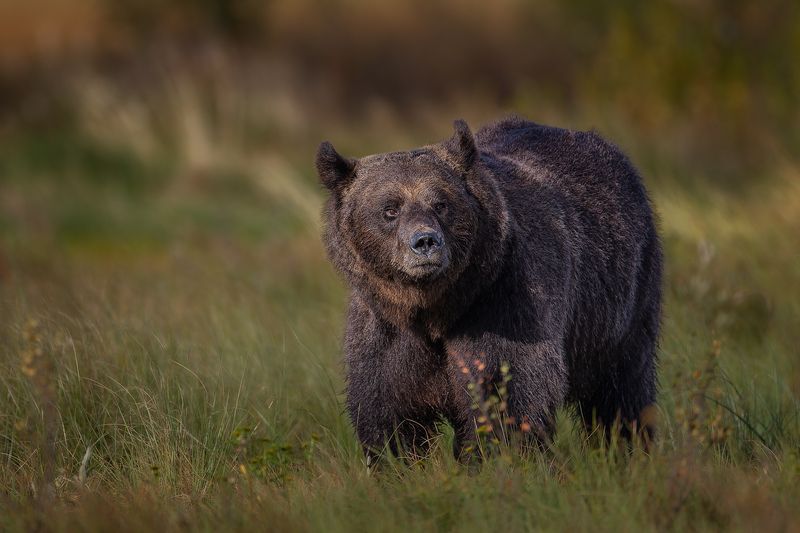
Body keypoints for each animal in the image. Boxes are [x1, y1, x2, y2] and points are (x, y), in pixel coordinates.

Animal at [316, 116, 662, 463]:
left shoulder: (503, 302)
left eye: (441, 203)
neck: (434, 310)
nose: (425, 241)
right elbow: (389, 409)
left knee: (622, 391)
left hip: (620, 305)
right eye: (390, 209)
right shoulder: (386, 330)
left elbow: (506, 392)